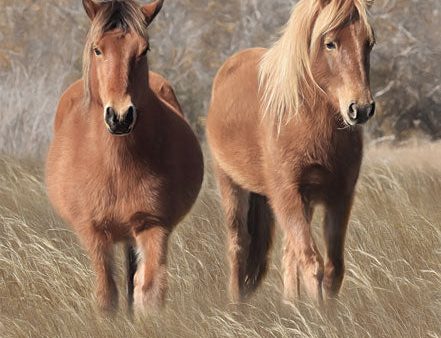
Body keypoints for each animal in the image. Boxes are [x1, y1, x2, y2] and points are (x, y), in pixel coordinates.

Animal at [44, 0, 203, 314]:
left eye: (144, 50)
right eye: (97, 49)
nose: (120, 117)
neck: (115, 164)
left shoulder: (153, 225)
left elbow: (148, 292)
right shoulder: (94, 232)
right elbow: (107, 295)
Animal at [206, 0, 374, 304]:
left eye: (369, 43)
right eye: (330, 43)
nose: (361, 109)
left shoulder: (339, 196)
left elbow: (333, 268)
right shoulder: (287, 194)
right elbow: (312, 263)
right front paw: (317, 314)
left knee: (287, 255)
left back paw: (290, 305)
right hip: (231, 185)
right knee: (239, 245)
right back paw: (236, 306)